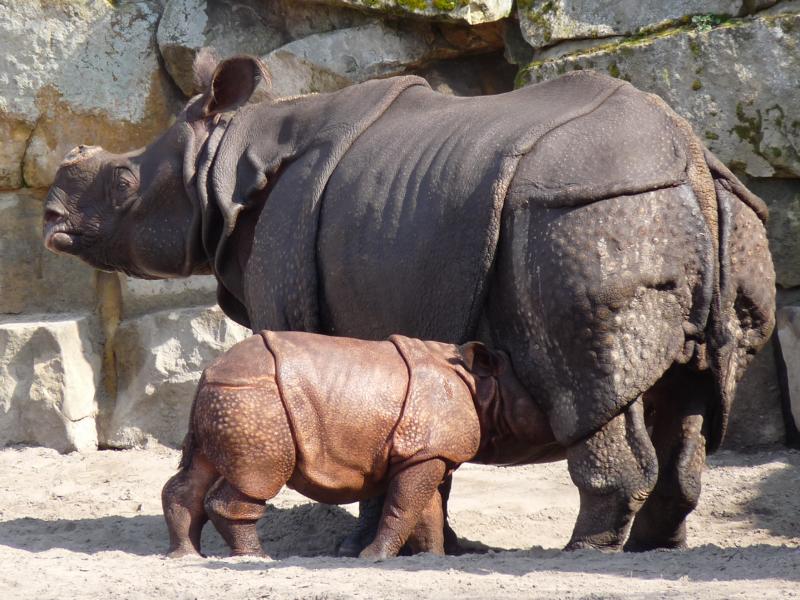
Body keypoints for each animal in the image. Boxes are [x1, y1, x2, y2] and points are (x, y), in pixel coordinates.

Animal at [43, 52, 775, 553]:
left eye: (123, 181)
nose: (51, 218)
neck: (223, 161)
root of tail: (690, 159)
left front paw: (354, 549)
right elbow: (412, 443)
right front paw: (437, 549)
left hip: (582, 216)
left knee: (587, 388)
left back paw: (584, 553)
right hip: (720, 218)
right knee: (693, 399)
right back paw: (653, 547)